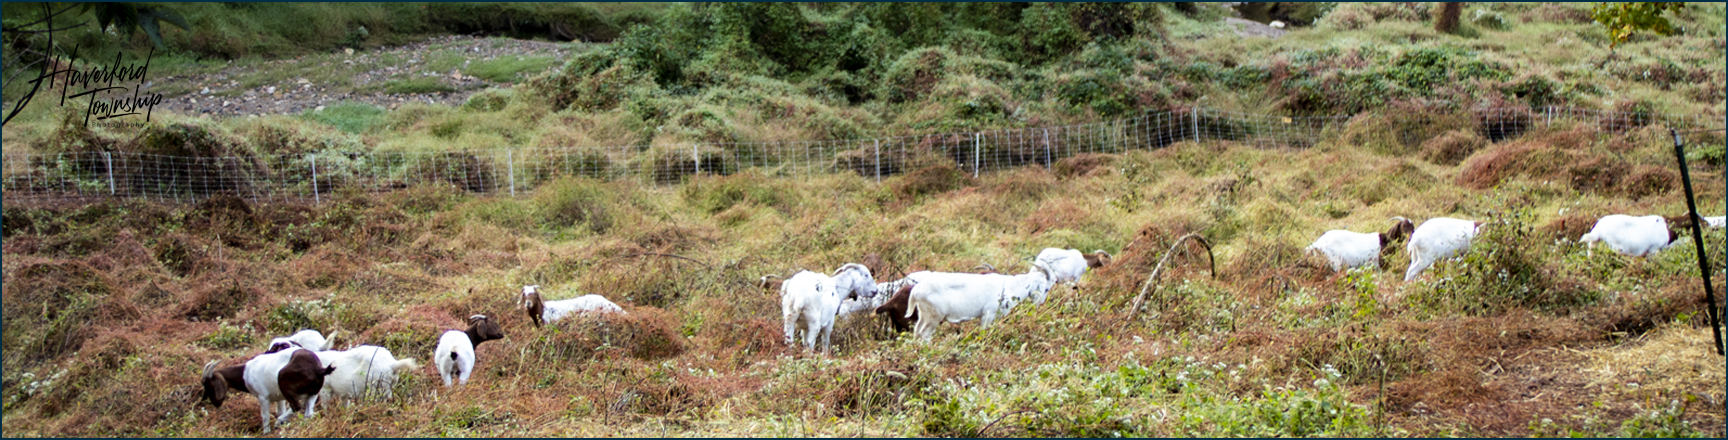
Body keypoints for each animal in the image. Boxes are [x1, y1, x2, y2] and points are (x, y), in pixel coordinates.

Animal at [199, 346, 336, 436]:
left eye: (210, 385)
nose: (216, 403)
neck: (246, 373)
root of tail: (318, 369)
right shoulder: (279, 398)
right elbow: (280, 410)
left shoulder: (263, 397)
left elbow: (264, 415)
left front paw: (266, 432)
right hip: (313, 393)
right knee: (308, 413)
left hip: (283, 381)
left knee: (296, 406)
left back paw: (278, 422)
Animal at [898, 260, 1057, 339]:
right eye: (1047, 288)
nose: (1040, 303)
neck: (1008, 285)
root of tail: (916, 291)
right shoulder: (988, 315)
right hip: (934, 316)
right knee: (925, 333)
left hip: (923, 315)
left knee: (917, 331)